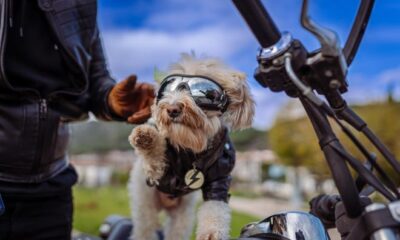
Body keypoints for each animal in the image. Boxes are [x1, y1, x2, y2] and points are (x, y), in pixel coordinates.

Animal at [127, 54, 253, 240]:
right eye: (168, 89)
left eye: (205, 93)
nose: (172, 109)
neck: (192, 149)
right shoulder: (157, 172)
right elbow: (155, 156)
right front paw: (146, 137)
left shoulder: (219, 179)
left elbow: (215, 209)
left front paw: (211, 233)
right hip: (145, 208)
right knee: (144, 229)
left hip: (182, 217)